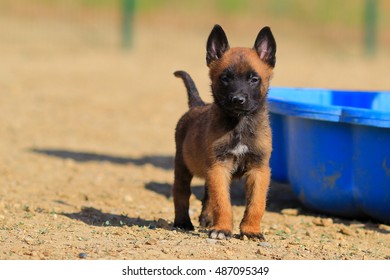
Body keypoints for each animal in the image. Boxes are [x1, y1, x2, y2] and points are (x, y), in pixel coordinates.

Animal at [172, 23, 276, 241]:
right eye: (225, 78)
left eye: (254, 79)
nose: (238, 99)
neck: (239, 124)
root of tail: (198, 104)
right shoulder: (218, 168)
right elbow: (222, 202)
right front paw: (222, 229)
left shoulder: (259, 170)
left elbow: (256, 203)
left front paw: (251, 230)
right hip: (182, 166)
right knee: (181, 192)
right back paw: (183, 221)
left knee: (207, 194)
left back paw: (206, 218)